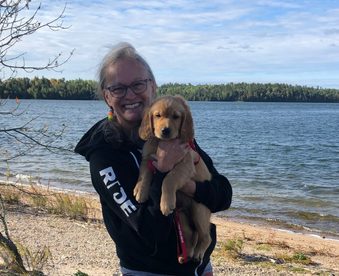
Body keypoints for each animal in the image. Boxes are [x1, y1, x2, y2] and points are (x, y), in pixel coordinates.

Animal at [133, 95, 211, 264]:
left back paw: (198, 253)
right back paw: (185, 255)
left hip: (199, 210)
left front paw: (166, 202)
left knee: (205, 236)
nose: (165, 130)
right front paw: (140, 190)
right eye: (158, 115)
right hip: (182, 217)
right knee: (191, 235)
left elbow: (168, 178)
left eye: (176, 116)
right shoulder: (147, 159)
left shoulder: (185, 164)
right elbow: (144, 174)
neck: (163, 143)